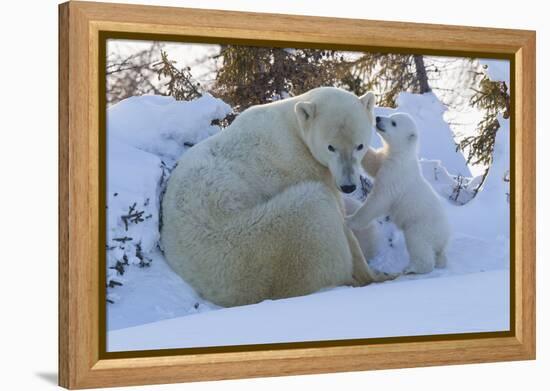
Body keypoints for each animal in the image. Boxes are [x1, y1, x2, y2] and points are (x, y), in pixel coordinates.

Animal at [162, 87, 394, 308]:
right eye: (331, 147)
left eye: (359, 145)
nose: (348, 186)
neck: (293, 126)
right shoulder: (300, 165)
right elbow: (342, 219)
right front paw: (373, 272)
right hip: (261, 239)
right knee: (317, 209)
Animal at [350, 112, 452, 274]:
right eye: (391, 116)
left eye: (394, 123)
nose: (378, 118)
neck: (402, 156)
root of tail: (445, 237)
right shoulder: (385, 160)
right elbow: (373, 162)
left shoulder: (395, 175)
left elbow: (378, 200)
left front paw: (349, 220)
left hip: (421, 226)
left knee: (418, 244)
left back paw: (412, 269)